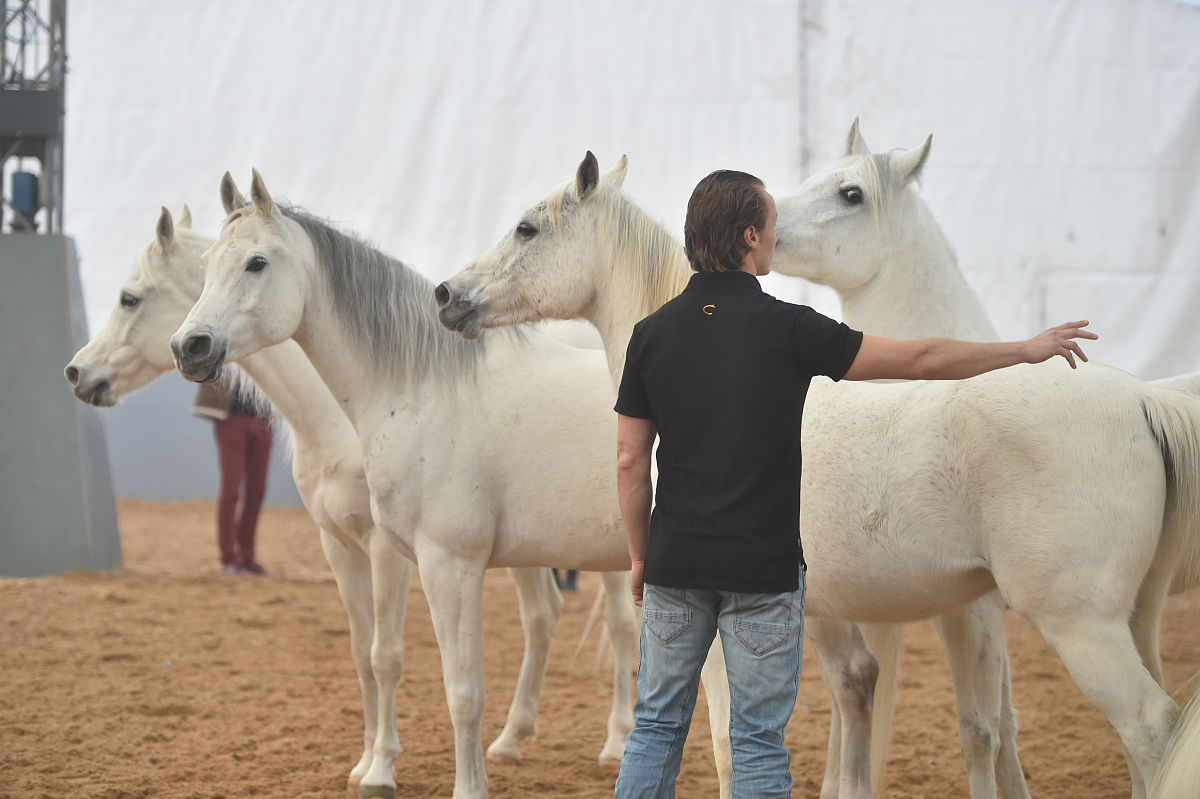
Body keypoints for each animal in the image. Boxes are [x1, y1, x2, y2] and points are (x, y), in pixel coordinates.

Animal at [65, 204, 635, 799]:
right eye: (206, 268)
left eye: (131, 298)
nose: (77, 372)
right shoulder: (338, 545)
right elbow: (363, 655)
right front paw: (365, 761)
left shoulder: (406, 555)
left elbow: (397, 661)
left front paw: (383, 767)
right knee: (543, 617)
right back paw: (511, 739)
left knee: (620, 627)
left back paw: (615, 743)